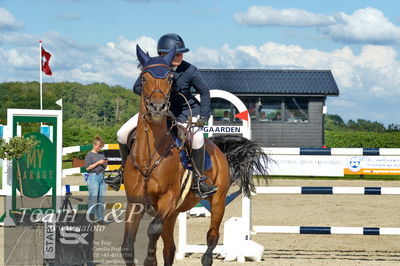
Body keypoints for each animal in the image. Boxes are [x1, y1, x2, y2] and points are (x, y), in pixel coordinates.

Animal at [120, 44, 268, 264]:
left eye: (169, 79)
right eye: (144, 78)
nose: (157, 107)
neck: (149, 155)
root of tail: (216, 148)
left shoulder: (168, 199)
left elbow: (153, 229)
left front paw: (149, 259)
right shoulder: (136, 202)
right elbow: (128, 248)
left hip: (217, 202)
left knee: (211, 238)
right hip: (173, 213)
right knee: (170, 249)